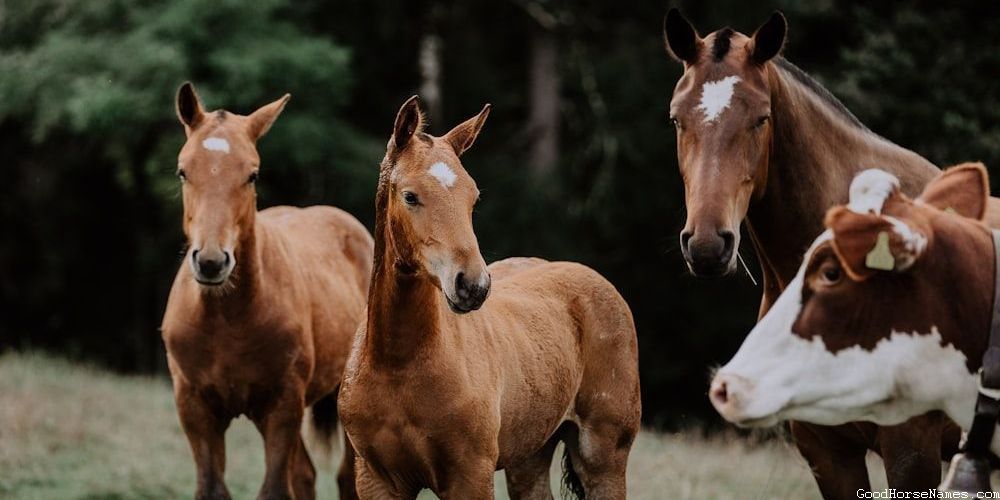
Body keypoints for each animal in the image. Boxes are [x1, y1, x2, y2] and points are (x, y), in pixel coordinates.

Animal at [160, 83, 373, 500]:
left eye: (252, 175)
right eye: (182, 171)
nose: (211, 262)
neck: (226, 319)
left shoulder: (282, 406)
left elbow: (274, 489)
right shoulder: (194, 408)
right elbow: (213, 487)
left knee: (346, 478)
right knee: (305, 474)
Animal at [337, 96, 642, 499]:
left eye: (473, 197)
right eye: (410, 196)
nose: (473, 285)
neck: (397, 365)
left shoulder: (471, 475)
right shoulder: (376, 479)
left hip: (603, 456)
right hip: (529, 454)